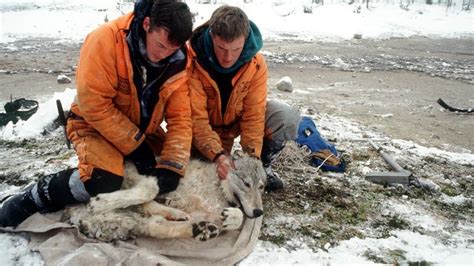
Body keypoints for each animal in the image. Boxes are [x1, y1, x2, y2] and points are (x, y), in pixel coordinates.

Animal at [63, 151, 266, 242]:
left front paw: (231, 217)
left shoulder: (207, 212)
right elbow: (148, 191)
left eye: (261, 186)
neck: (216, 184)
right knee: (148, 194)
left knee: (156, 224)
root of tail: (74, 214)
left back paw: (200, 229)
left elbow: (238, 217)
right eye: (246, 183)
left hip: (133, 221)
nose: (258, 212)